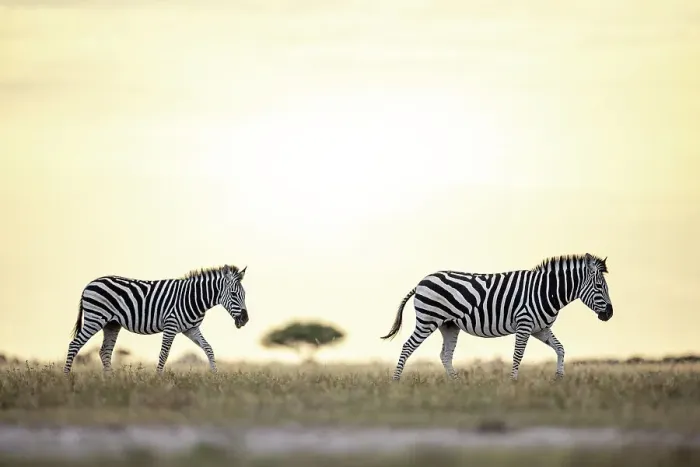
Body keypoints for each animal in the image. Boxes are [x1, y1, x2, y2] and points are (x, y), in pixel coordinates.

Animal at [63, 264, 249, 374]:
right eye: (234, 294)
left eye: (244, 294)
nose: (245, 319)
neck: (193, 298)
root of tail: (90, 284)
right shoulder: (171, 325)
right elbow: (164, 354)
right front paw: (158, 379)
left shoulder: (191, 329)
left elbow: (208, 348)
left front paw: (215, 376)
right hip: (95, 318)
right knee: (74, 345)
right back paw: (67, 379)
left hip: (111, 324)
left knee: (105, 352)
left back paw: (110, 381)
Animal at [381, 253, 613, 381]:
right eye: (599, 286)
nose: (610, 314)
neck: (546, 291)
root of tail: (421, 281)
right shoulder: (524, 324)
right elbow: (518, 355)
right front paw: (513, 382)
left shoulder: (540, 329)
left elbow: (560, 348)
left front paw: (559, 378)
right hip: (428, 320)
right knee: (407, 347)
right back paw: (396, 382)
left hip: (449, 326)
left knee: (445, 356)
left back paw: (458, 385)